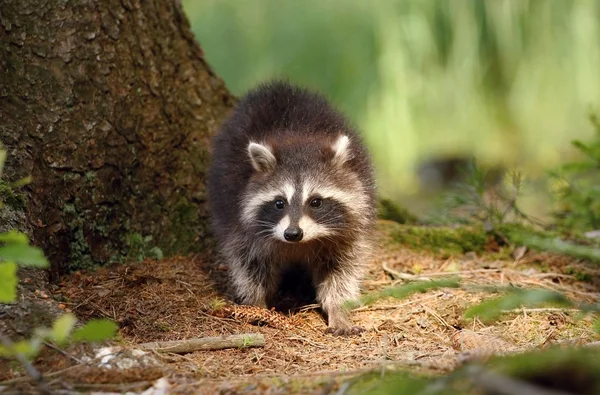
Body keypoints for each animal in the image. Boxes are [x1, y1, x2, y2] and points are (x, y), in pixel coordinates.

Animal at [206, 81, 376, 338]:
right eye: (279, 203)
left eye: (315, 202)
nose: (292, 234)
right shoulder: (239, 221)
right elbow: (249, 265)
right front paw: (256, 304)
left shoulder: (350, 229)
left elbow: (342, 270)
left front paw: (338, 309)